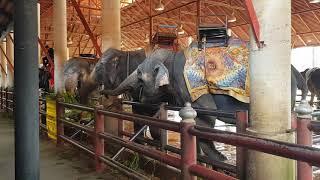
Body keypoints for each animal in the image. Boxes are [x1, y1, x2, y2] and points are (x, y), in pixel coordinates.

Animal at [101, 47, 308, 162]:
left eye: (139, 74)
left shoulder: (190, 84)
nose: (102, 92)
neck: (173, 56)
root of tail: (295, 71)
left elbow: (207, 114)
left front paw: (220, 159)